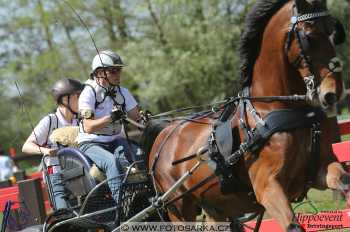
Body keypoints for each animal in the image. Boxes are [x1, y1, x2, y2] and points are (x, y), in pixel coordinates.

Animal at [142, 0, 348, 231]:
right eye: (309, 37)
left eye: (335, 34)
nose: (334, 92)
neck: (272, 111)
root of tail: (164, 134)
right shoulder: (267, 188)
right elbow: (292, 226)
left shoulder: (321, 169)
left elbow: (344, 181)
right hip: (178, 208)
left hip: (216, 207)